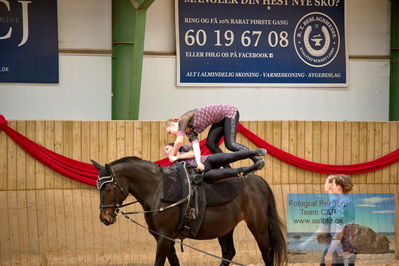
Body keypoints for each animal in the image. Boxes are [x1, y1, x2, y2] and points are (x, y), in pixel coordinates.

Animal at [93, 157, 288, 264]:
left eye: (108, 188)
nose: (104, 218)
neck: (158, 189)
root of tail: (257, 180)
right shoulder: (163, 237)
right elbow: (174, 262)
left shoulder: (164, 237)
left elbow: (159, 262)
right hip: (225, 228)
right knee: (228, 253)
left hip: (258, 226)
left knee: (267, 251)